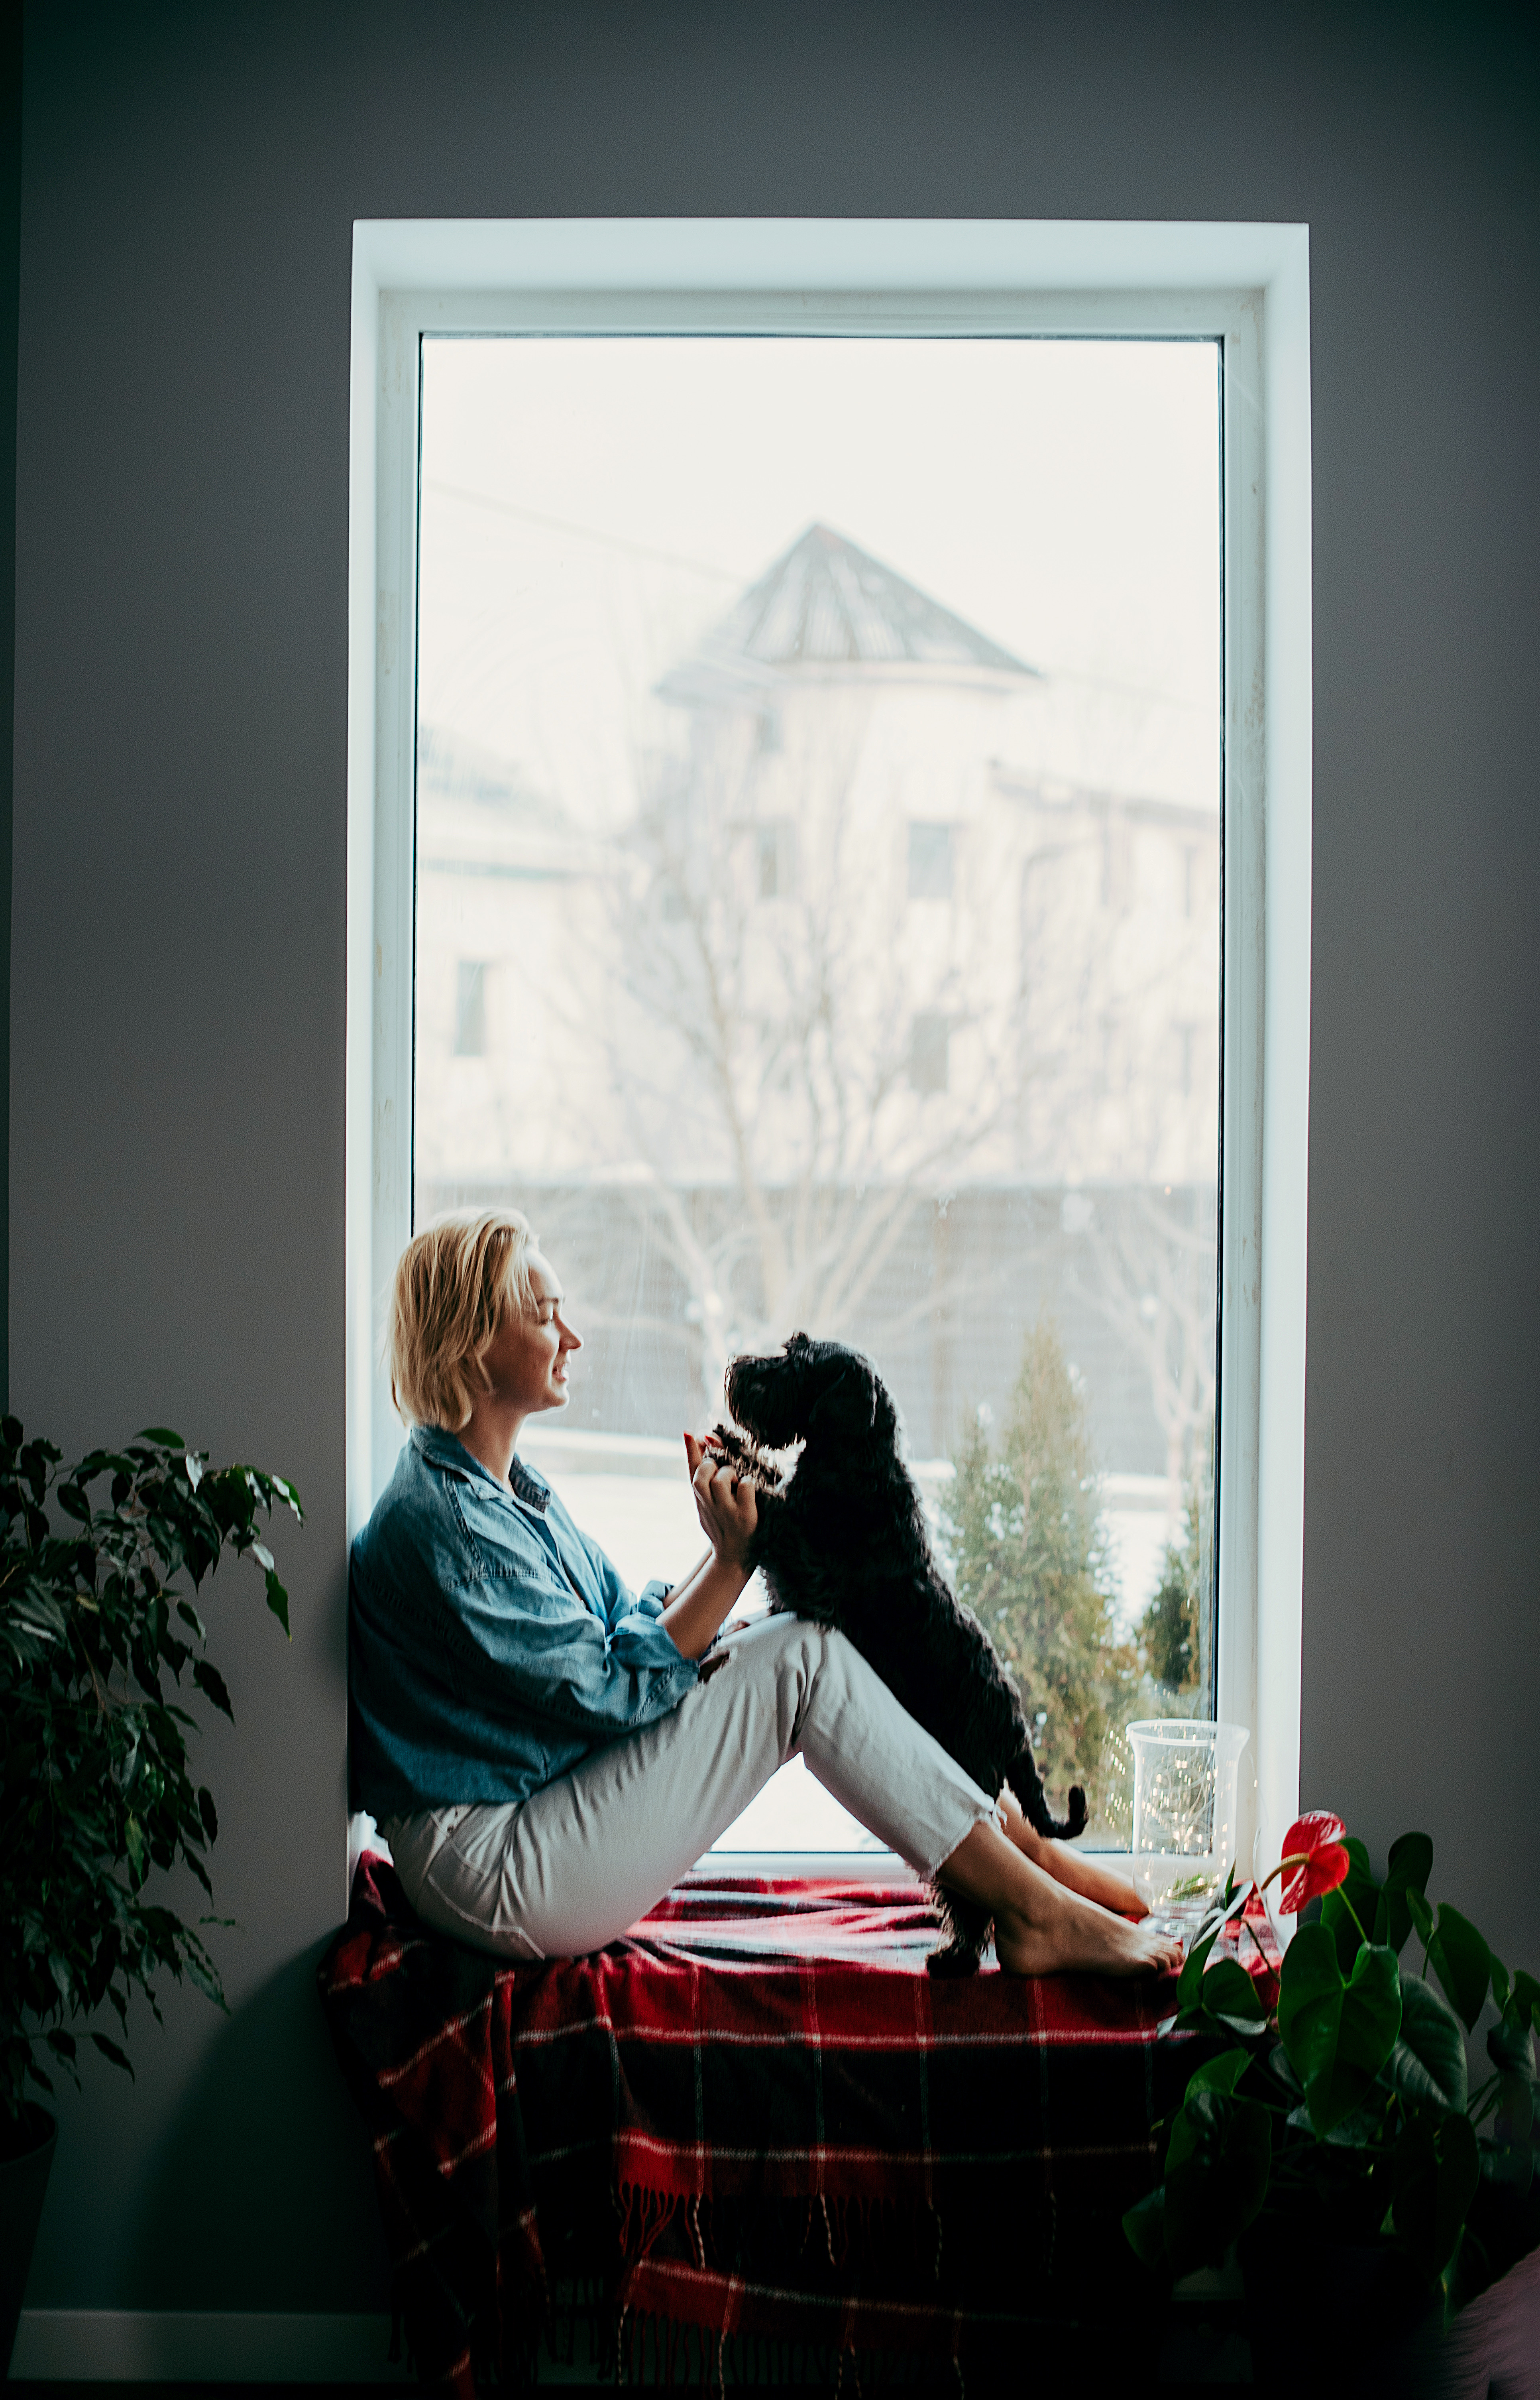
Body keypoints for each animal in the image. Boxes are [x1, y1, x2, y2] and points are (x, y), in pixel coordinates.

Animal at [710, 1334, 1079, 1968]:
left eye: (799, 1362)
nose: (739, 1368)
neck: (857, 1457)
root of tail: (1017, 1728)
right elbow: (772, 1478)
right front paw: (734, 1446)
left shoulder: (811, 1575)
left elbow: (773, 1505)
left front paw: (736, 1465)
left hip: (966, 1779)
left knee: (970, 1893)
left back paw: (957, 1957)